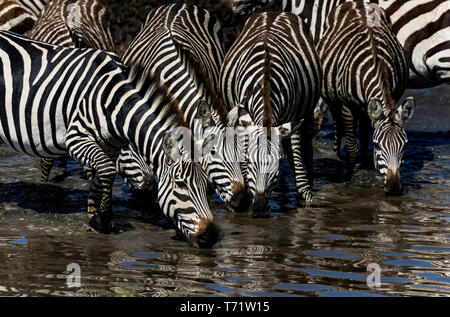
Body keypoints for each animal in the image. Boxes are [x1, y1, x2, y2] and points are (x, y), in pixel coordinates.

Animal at [0, 30, 218, 247]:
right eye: (181, 184)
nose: (208, 236)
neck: (114, 103)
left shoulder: (109, 146)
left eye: (205, 184)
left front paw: (94, 219)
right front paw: (103, 219)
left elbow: (102, 176)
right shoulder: (77, 137)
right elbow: (106, 171)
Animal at [220, 10, 322, 215]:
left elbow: (296, 152)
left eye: (275, 165)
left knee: (304, 148)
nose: (259, 208)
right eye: (250, 161)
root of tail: (274, 11)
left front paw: (305, 195)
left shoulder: (293, 114)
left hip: (307, 109)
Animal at [316, 1, 414, 195]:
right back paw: (338, 157)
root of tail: (358, 2)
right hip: (333, 99)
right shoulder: (346, 105)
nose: (394, 188)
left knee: (362, 133)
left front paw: (370, 170)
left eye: (405, 145)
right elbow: (352, 148)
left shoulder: (389, 98)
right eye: (378, 145)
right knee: (338, 124)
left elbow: (364, 139)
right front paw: (349, 176)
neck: (376, 64)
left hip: (365, 108)